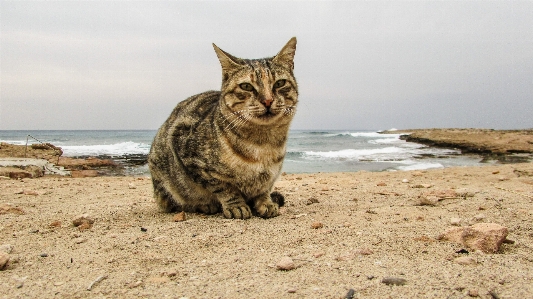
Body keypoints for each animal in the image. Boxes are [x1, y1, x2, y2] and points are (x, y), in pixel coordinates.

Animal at [148, 38, 298, 220]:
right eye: (246, 86)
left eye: (280, 83)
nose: (268, 100)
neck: (264, 145)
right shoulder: (185, 150)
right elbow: (224, 187)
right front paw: (236, 205)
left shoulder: (271, 176)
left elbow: (264, 189)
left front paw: (266, 203)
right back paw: (204, 205)